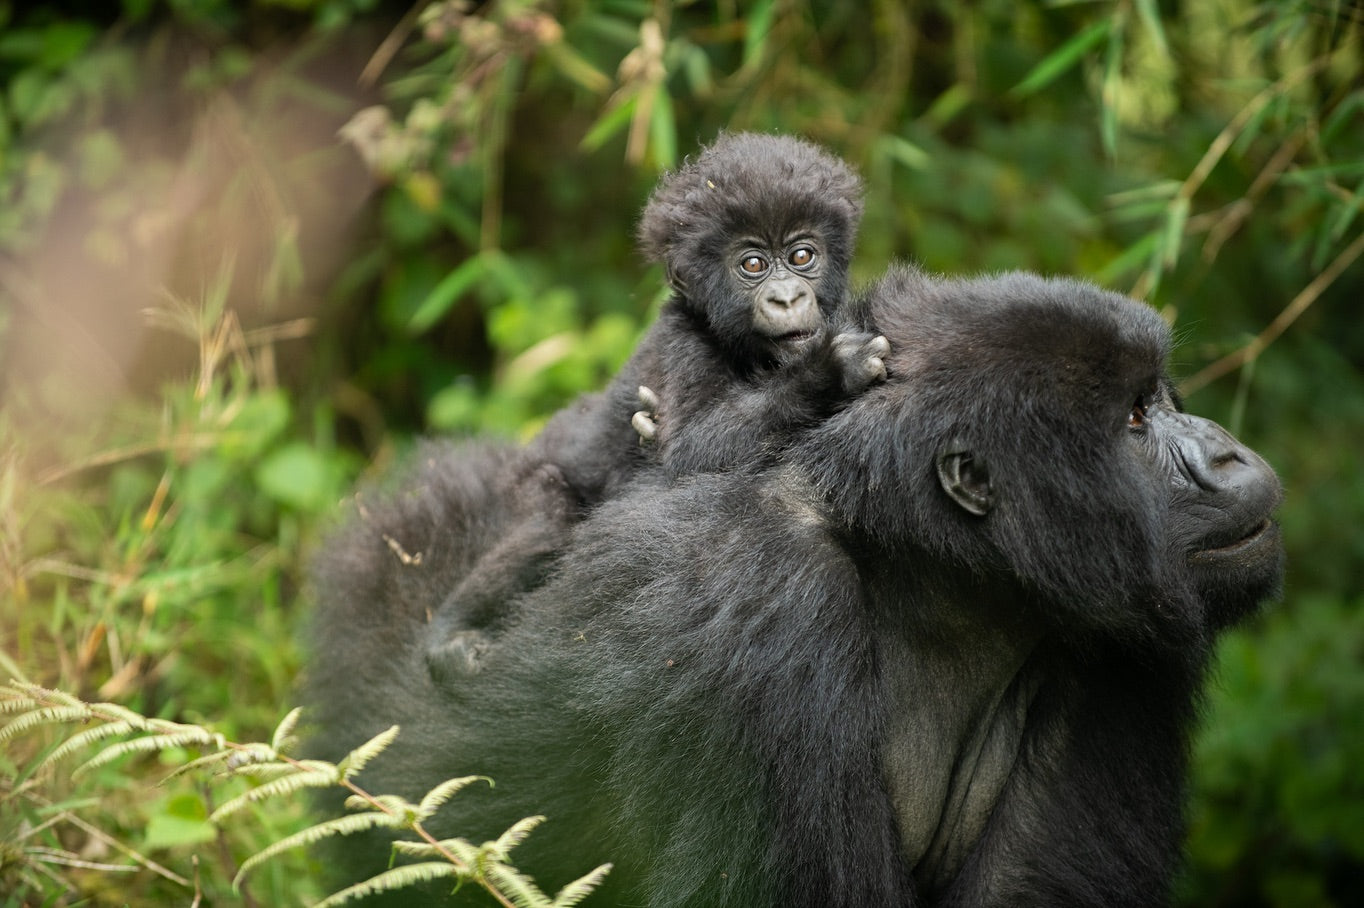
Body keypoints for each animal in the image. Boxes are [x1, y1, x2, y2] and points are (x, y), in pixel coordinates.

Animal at [306, 260, 1276, 899]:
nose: (1229, 454)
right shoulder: (758, 602)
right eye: (1135, 420)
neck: (930, 573)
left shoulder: (1116, 642)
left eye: (1161, 397)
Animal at [428, 130, 894, 676]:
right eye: (753, 265)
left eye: (802, 257)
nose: (785, 298)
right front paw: (829, 372)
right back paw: (447, 631)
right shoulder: (682, 338)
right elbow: (690, 455)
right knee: (545, 523)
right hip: (523, 480)